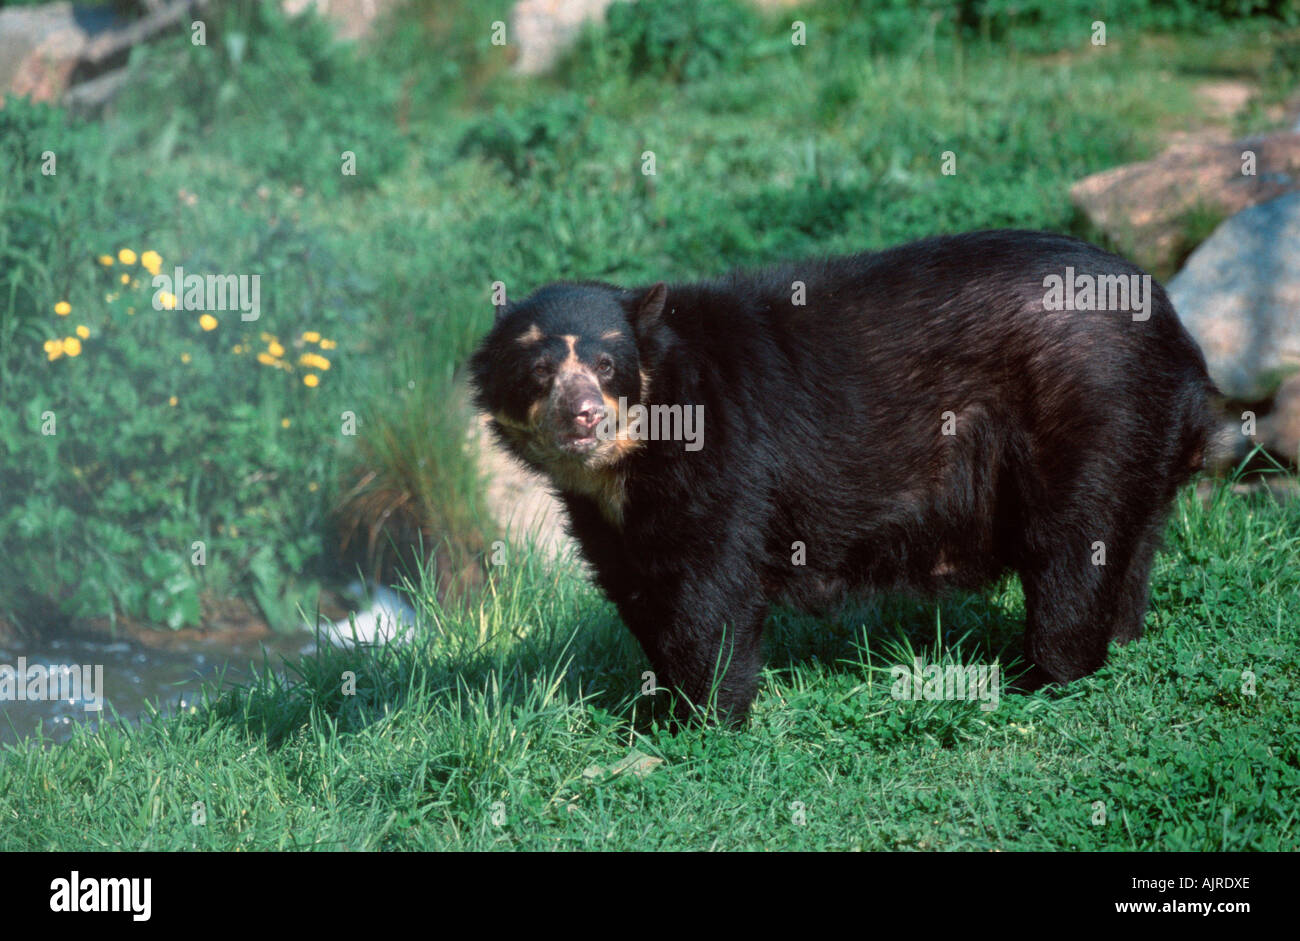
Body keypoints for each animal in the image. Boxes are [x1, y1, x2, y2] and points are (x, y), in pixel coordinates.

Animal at [470, 230, 1216, 727]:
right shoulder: (609, 515)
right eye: (539, 371)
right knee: (1129, 541)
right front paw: (659, 705)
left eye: (606, 364)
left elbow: (710, 593)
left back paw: (1047, 674)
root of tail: (1175, 326)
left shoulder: (725, 461)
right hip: (1134, 434)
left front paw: (703, 719)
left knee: (1073, 548)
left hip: (1089, 410)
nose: (584, 416)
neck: (631, 462)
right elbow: (641, 588)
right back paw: (1121, 637)